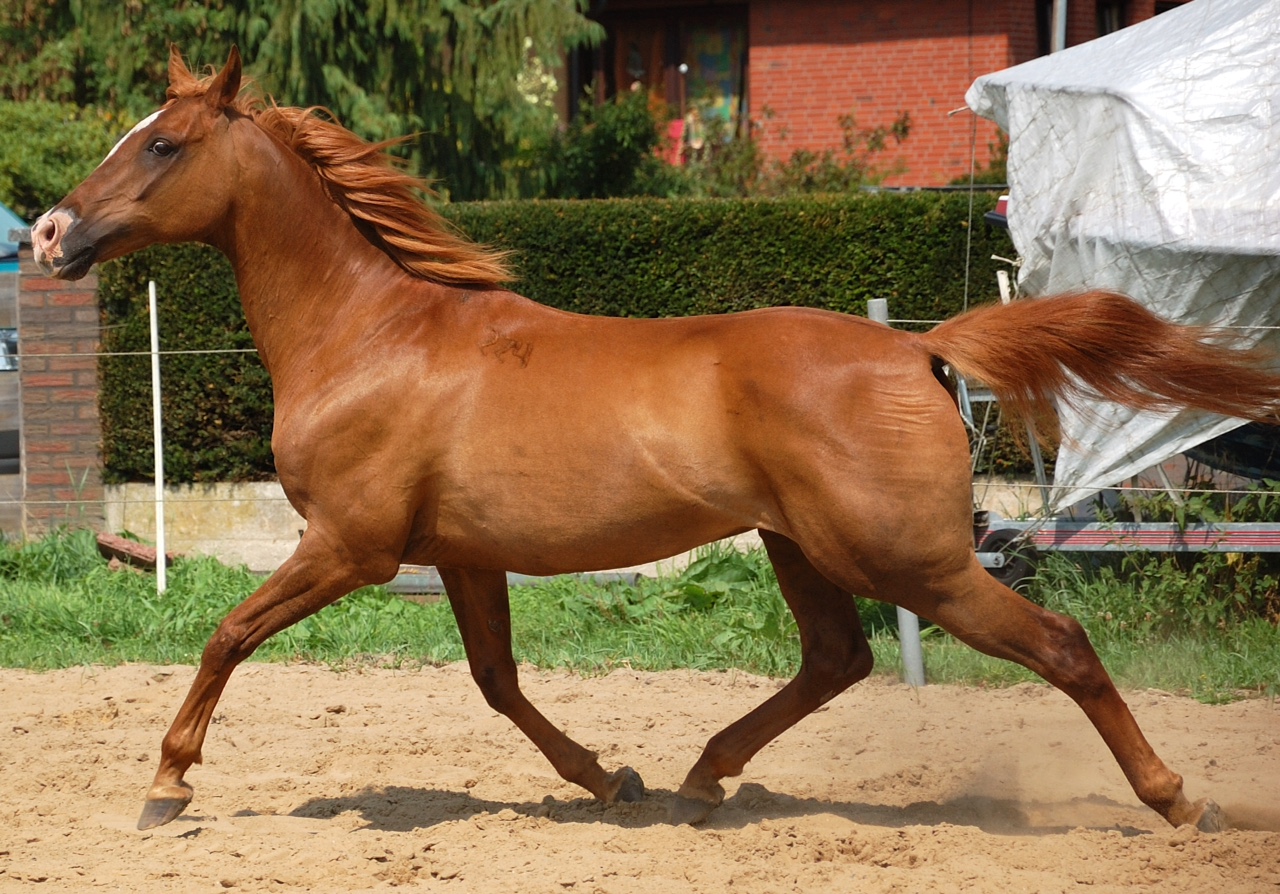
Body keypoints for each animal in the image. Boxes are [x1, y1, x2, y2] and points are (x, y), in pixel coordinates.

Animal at [33, 47, 1280, 834]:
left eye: (164, 144)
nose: (48, 232)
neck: (372, 335)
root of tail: (917, 349)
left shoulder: (353, 546)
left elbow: (224, 635)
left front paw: (165, 787)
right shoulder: (462, 556)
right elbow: (496, 683)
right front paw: (609, 779)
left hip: (904, 557)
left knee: (1055, 645)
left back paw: (1178, 799)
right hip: (801, 546)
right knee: (836, 658)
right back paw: (696, 781)